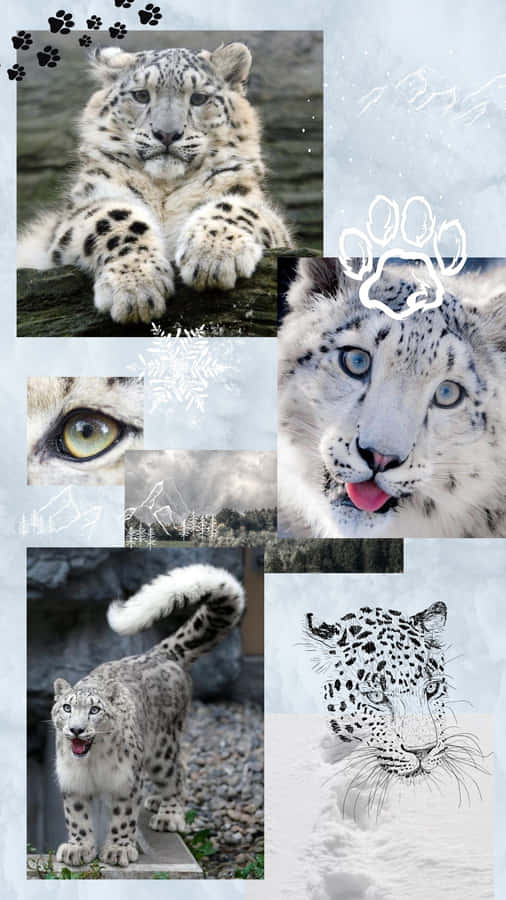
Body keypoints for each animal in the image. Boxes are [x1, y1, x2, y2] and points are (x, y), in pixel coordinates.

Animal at [17, 42, 292, 324]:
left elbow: (235, 208)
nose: (167, 133)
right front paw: (136, 287)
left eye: (199, 98)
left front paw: (213, 255)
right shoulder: (84, 207)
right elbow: (114, 219)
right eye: (141, 95)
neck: (164, 191)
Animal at [51, 563, 245, 867]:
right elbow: (77, 817)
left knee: (176, 772)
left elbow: (123, 818)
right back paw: (155, 800)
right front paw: (78, 848)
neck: (91, 763)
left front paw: (117, 850)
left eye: (95, 710)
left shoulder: (126, 782)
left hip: (162, 748)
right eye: (67, 708)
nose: (77, 730)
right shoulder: (72, 783)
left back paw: (169, 814)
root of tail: (160, 653)